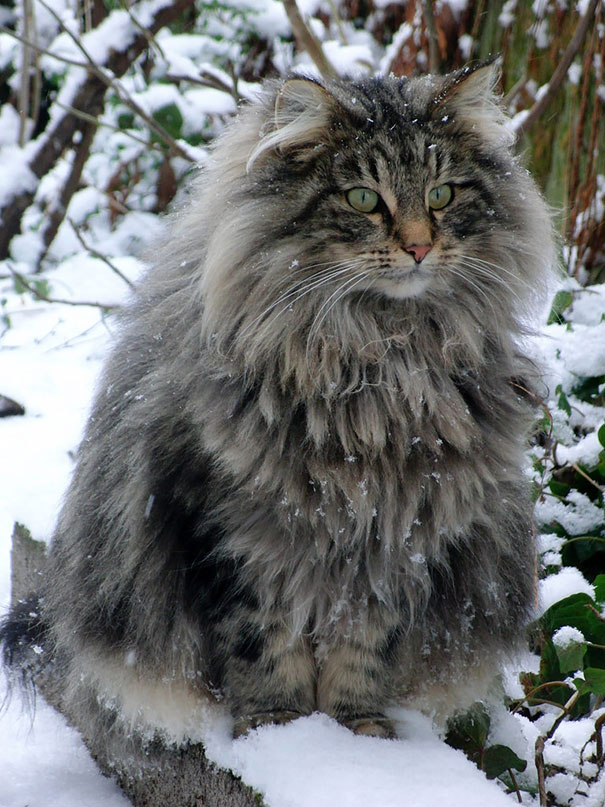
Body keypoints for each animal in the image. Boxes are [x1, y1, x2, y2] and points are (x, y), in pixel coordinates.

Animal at [2, 58, 556, 752]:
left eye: (442, 196)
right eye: (363, 199)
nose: (420, 248)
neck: (379, 361)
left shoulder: (397, 533)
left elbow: (362, 649)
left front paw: (357, 734)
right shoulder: (235, 530)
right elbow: (262, 646)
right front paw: (280, 733)